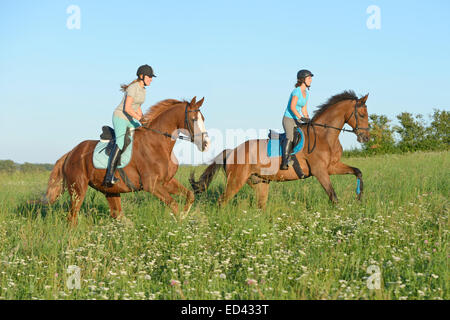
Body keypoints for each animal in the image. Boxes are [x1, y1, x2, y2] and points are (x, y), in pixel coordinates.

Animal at [44, 95, 210, 225]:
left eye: (203, 119)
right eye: (193, 119)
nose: (206, 144)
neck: (157, 143)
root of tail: (71, 153)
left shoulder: (166, 182)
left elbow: (190, 195)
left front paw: (184, 216)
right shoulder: (152, 185)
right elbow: (174, 204)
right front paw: (180, 223)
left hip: (110, 191)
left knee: (117, 215)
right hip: (78, 190)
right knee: (72, 216)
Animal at [190, 91, 370, 209]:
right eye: (361, 115)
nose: (366, 138)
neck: (324, 135)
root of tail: (232, 150)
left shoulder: (332, 167)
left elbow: (358, 171)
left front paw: (359, 198)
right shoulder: (320, 171)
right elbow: (333, 196)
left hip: (260, 182)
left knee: (260, 206)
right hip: (236, 181)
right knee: (222, 201)